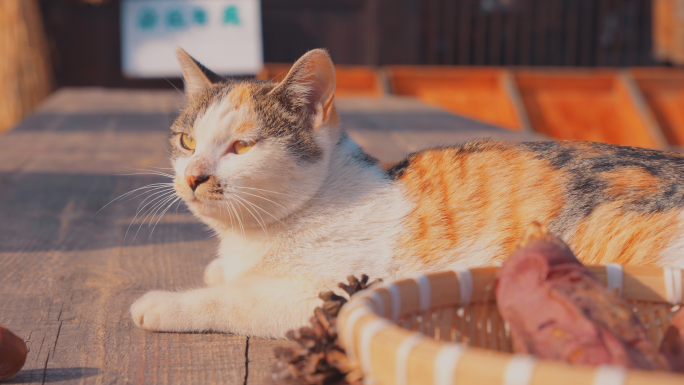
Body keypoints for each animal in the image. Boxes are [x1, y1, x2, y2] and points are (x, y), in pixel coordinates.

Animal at [132, 46, 684, 338]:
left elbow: (235, 299)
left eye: (242, 146)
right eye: (187, 141)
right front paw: (219, 267)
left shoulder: (330, 292)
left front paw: (161, 305)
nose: (193, 175)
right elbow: (227, 274)